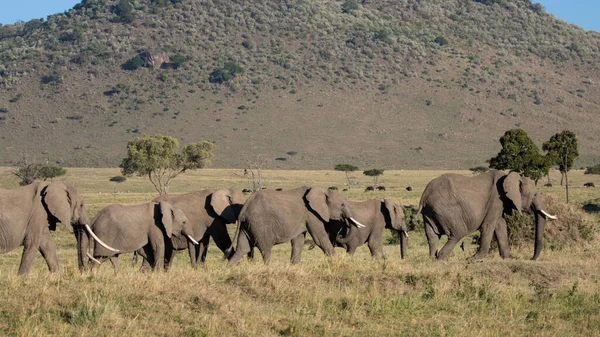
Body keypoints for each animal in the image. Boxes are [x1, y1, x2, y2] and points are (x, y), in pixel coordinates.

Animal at [227, 185, 364, 264]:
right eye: (342, 204)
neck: (322, 190)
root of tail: (245, 207)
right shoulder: (312, 213)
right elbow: (320, 238)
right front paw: (338, 262)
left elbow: (298, 240)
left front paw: (295, 266)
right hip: (260, 224)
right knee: (265, 249)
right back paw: (268, 268)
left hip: (248, 224)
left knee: (242, 248)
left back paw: (230, 268)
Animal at [418, 171, 556, 260]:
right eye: (535, 195)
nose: (531, 258)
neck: (510, 177)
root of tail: (424, 195)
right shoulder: (496, 199)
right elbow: (488, 226)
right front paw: (475, 259)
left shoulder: (500, 203)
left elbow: (501, 225)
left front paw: (508, 258)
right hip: (446, 210)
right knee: (457, 233)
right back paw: (441, 258)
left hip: (430, 212)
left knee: (432, 236)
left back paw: (432, 258)